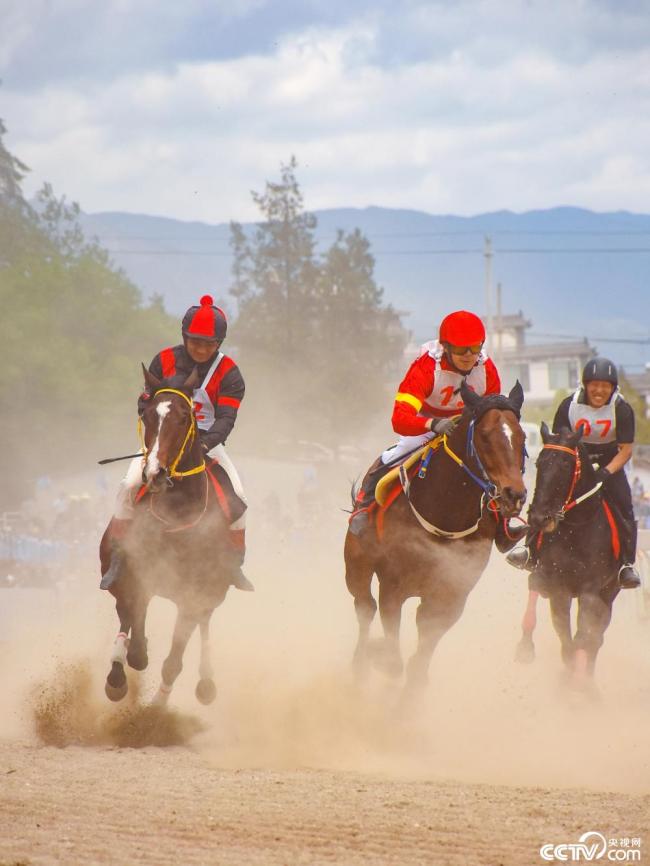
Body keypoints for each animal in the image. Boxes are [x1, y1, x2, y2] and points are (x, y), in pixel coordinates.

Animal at [344, 382, 528, 692]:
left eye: (522, 436)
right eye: (485, 436)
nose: (514, 494)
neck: (445, 513)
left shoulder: (451, 597)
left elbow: (418, 665)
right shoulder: (392, 587)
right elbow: (393, 659)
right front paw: (378, 658)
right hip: (356, 564)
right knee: (364, 607)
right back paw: (359, 666)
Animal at [512, 422, 620, 684]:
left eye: (566, 466)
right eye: (540, 464)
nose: (540, 517)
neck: (578, 529)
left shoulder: (591, 592)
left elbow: (585, 637)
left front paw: (578, 683)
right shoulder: (558, 586)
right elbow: (566, 638)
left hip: (609, 593)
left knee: (596, 637)